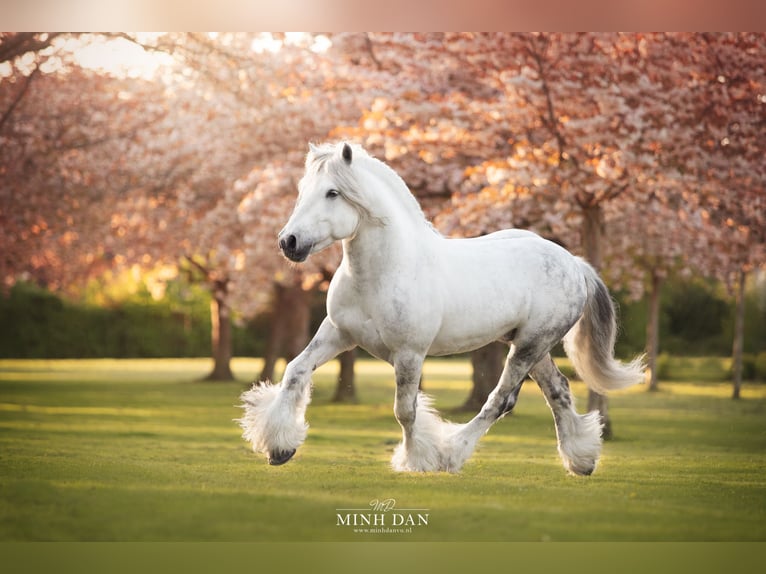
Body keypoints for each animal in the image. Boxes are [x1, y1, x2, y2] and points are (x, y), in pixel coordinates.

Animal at [240, 143, 648, 476]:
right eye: (302, 192)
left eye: (332, 192)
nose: (289, 242)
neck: (384, 271)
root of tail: (574, 264)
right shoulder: (338, 334)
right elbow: (295, 371)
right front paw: (279, 448)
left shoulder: (409, 354)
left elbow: (405, 410)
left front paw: (417, 460)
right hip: (533, 346)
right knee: (558, 391)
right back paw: (581, 460)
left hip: (529, 346)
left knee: (500, 400)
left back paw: (452, 454)